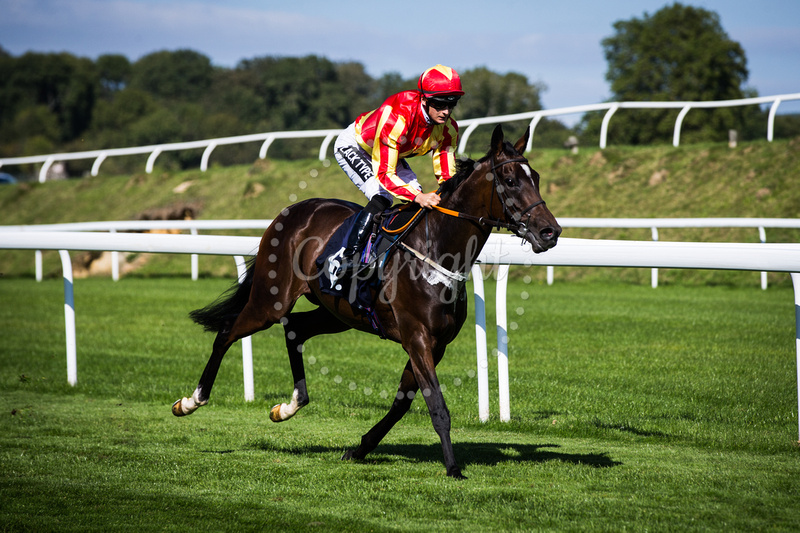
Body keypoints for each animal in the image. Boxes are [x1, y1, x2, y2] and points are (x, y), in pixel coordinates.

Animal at [173, 124, 564, 478]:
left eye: (536, 177)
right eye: (510, 180)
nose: (551, 231)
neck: (437, 249)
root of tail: (291, 212)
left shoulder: (436, 343)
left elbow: (403, 403)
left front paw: (359, 448)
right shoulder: (417, 336)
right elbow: (437, 405)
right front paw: (453, 468)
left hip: (336, 313)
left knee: (295, 329)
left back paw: (290, 406)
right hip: (271, 301)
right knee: (228, 331)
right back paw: (191, 401)